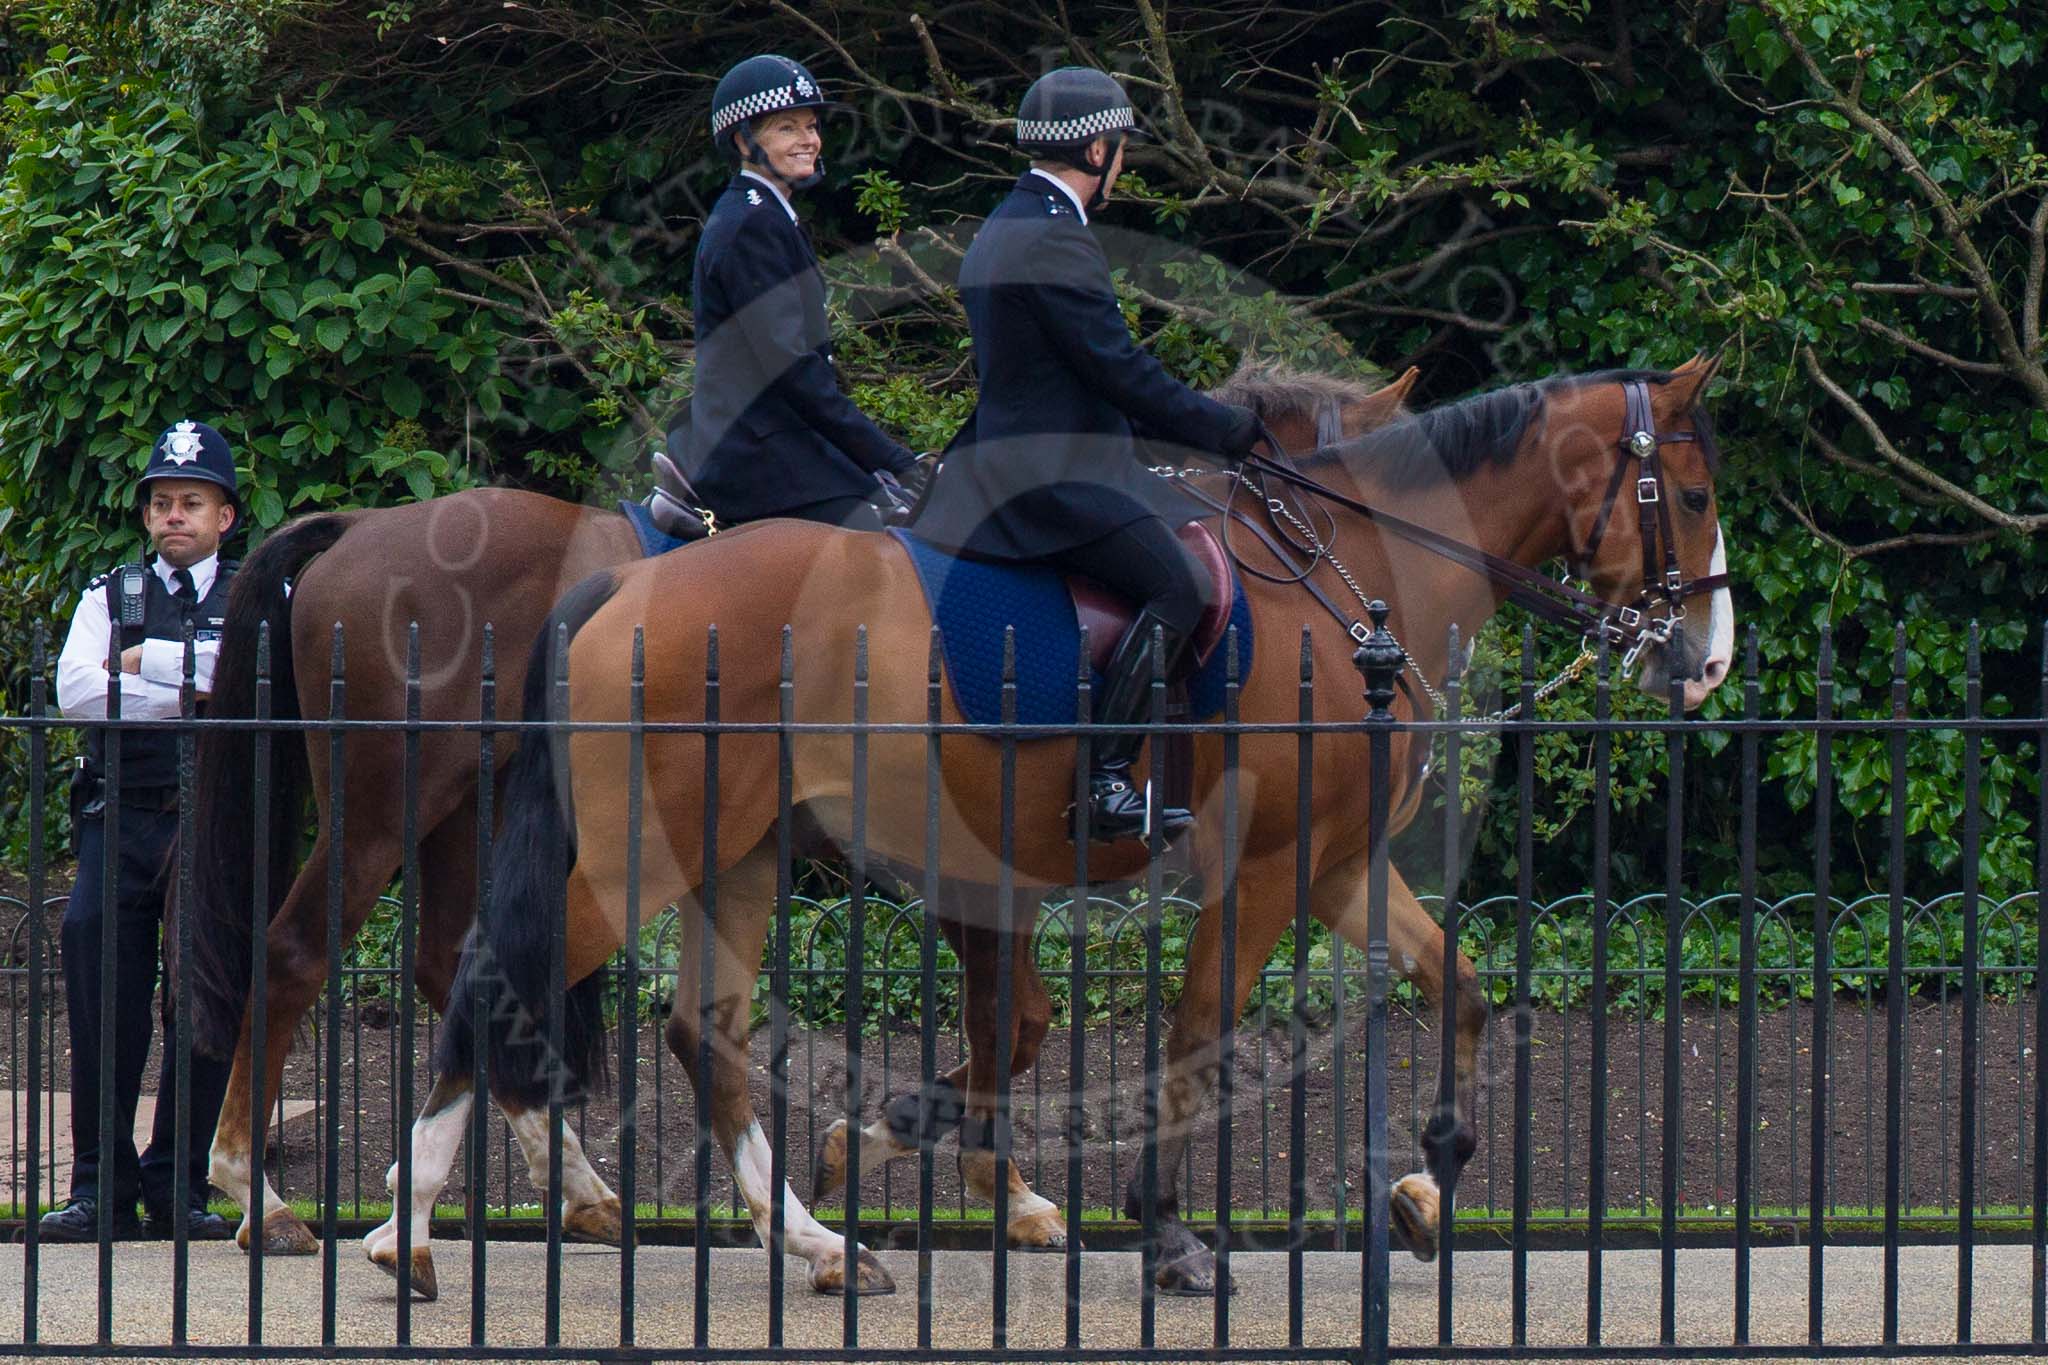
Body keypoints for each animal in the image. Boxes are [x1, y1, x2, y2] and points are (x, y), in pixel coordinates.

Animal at [184, 362, 1417, 1285]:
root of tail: (363, 528)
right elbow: (1010, 1024)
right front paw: (985, 1183)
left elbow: (1011, 1024)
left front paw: (972, 1180)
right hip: (386, 812)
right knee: (302, 955)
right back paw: (262, 1192)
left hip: (460, 818)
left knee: (462, 967)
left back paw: (562, 1190)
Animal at [403, 358, 1744, 1301]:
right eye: (1688, 494)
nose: (1706, 661)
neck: (1339, 574)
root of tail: (623, 584)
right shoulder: (1261, 873)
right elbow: (1185, 1033)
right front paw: (1161, 1231)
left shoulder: (1336, 868)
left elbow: (1459, 992)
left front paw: (1423, 1185)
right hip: (641, 857)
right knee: (493, 979)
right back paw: (408, 1230)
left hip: (734, 857)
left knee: (702, 1031)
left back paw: (817, 1242)